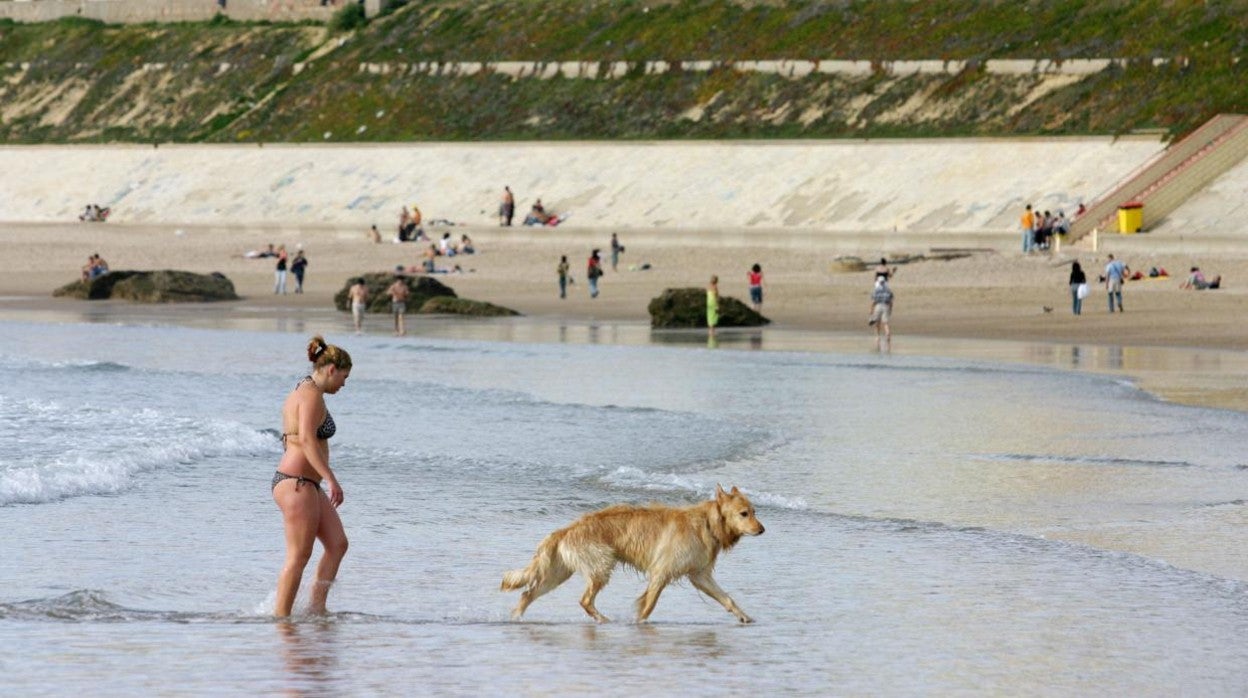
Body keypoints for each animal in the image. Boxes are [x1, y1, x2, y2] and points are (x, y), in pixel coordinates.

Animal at [501, 484, 763, 624]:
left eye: (754, 511)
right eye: (743, 514)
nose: (762, 529)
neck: (706, 523)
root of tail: (566, 529)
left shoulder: (700, 575)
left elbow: (727, 598)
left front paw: (744, 616)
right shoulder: (661, 572)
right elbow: (649, 604)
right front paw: (638, 623)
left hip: (558, 573)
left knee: (528, 594)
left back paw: (515, 617)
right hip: (601, 565)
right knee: (585, 600)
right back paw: (603, 620)